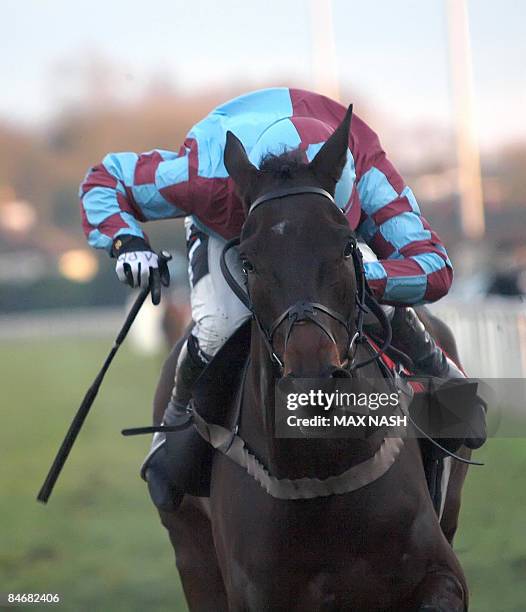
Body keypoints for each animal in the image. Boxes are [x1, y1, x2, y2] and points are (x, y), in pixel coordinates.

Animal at [154, 107, 470, 608]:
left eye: (346, 246)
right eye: (248, 261)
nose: (312, 380)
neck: (321, 467)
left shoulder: (440, 573)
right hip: (191, 554)